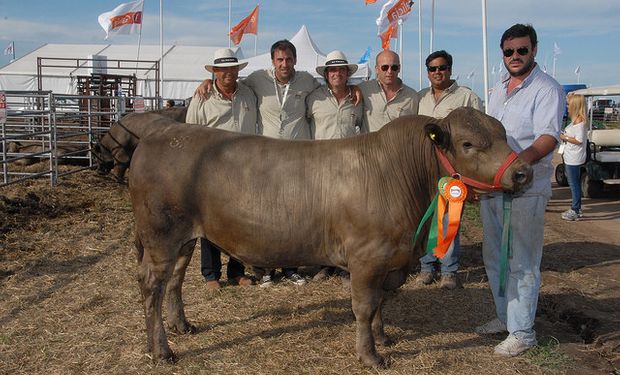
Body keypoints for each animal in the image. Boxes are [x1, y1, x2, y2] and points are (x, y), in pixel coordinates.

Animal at [127, 108, 532, 368]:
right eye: (467, 144)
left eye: (503, 134)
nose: (523, 172)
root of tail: (162, 128)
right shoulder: (367, 258)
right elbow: (364, 306)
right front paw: (370, 356)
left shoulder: (389, 260)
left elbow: (380, 303)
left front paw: (383, 338)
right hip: (160, 235)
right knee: (151, 284)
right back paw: (161, 351)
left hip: (184, 238)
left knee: (175, 280)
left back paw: (182, 326)